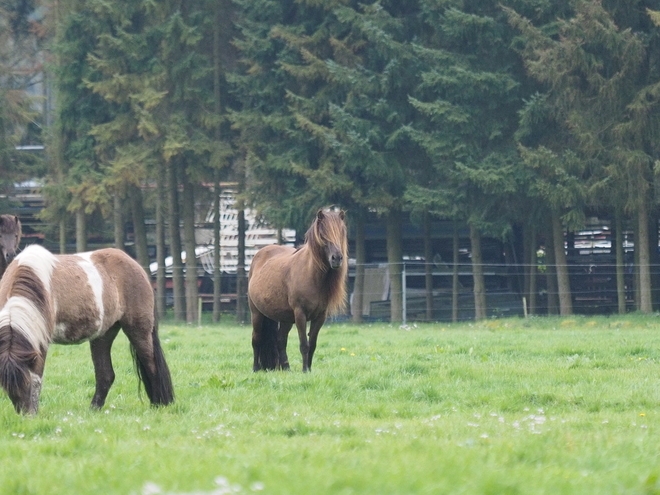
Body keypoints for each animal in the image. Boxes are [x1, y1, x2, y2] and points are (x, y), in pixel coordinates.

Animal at [0, 245, 174, 414]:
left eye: (26, 383)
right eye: (6, 387)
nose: (24, 414)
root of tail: (135, 265)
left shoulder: (40, 343)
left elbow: (37, 378)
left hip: (139, 330)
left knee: (151, 366)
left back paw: (158, 404)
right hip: (103, 336)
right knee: (105, 375)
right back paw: (94, 410)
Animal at [248, 207, 350, 374]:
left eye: (342, 232)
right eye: (323, 234)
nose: (337, 258)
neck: (312, 277)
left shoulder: (320, 317)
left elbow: (312, 344)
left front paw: (309, 369)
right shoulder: (300, 314)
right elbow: (304, 344)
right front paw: (304, 370)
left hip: (285, 319)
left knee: (280, 341)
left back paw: (286, 368)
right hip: (256, 313)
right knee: (256, 339)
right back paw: (256, 368)